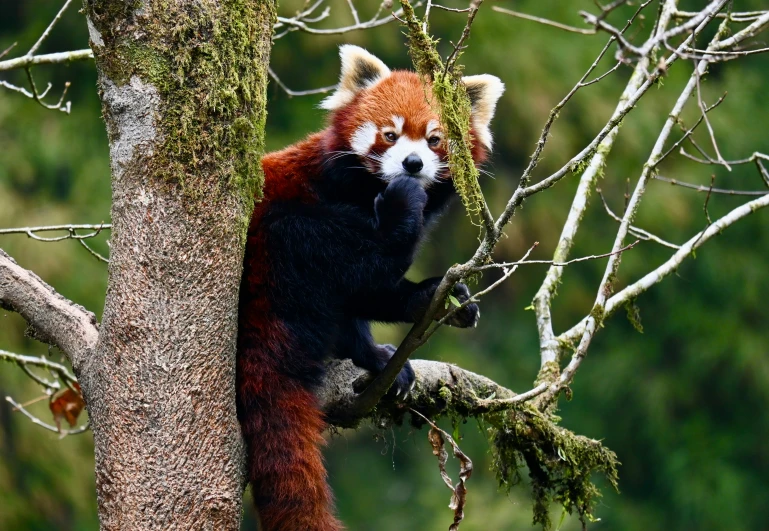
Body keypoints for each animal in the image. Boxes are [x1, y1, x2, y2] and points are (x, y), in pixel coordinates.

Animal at [240, 46, 504, 531]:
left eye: (435, 139)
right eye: (390, 134)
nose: (411, 165)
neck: (365, 188)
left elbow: (367, 291)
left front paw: (434, 298)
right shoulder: (326, 197)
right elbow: (365, 270)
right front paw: (403, 212)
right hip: (275, 256)